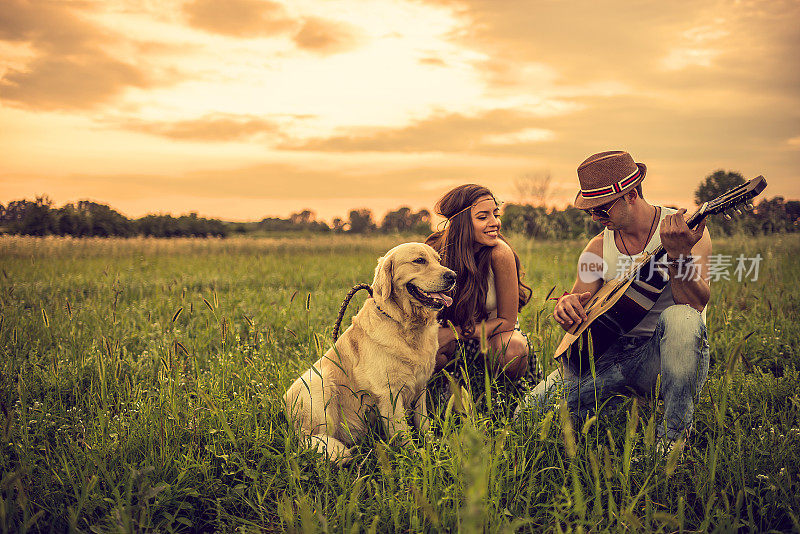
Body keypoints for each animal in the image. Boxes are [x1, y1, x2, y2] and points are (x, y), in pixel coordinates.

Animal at [284, 245, 454, 462]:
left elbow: (423, 423)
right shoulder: (389, 393)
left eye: (438, 260)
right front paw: (413, 457)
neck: (406, 324)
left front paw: (433, 447)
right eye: (419, 261)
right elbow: (403, 431)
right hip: (318, 381)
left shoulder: (420, 387)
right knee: (311, 437)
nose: (453, 276)